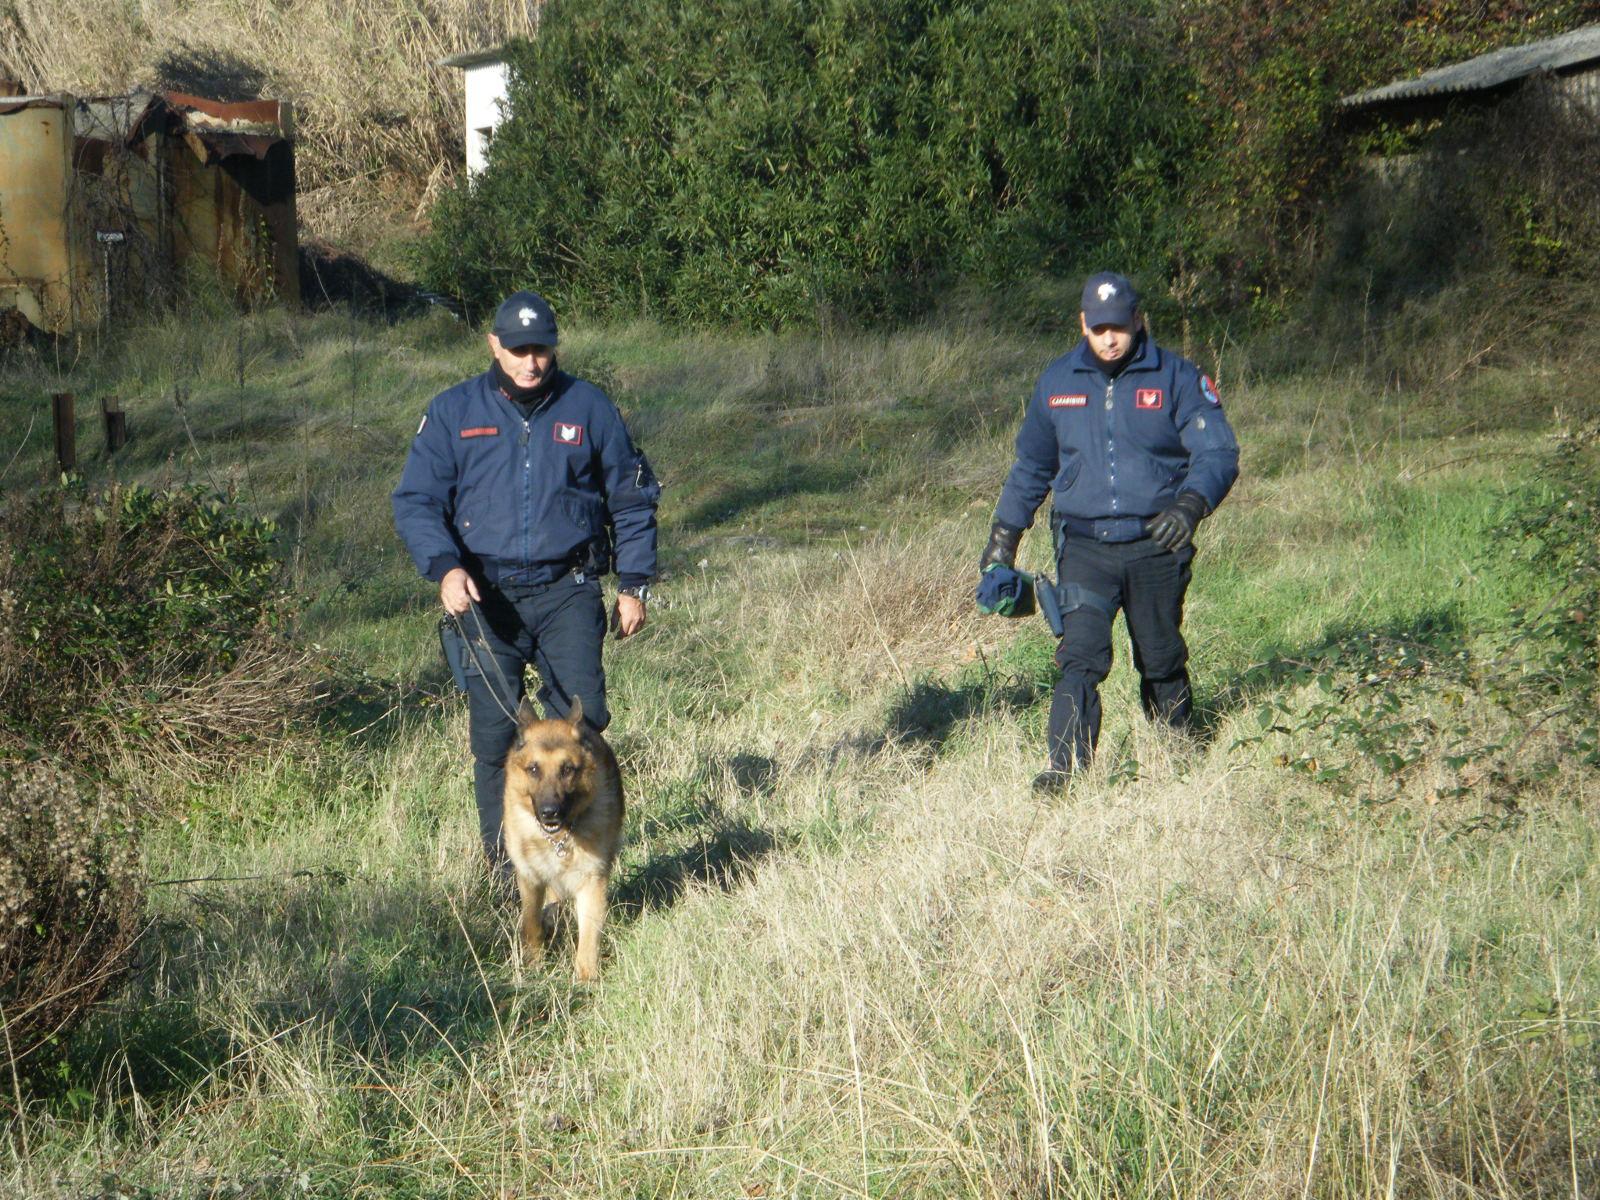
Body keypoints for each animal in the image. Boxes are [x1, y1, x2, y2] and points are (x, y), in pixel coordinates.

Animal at [502, 694, 620, 985]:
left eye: (568, 769)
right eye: (533, 769)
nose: (549, 812)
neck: (558, 839)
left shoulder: (592, 881)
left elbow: (588, 935)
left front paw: (585, 978)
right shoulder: (530, 878)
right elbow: (530, 923)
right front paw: (534, 963)